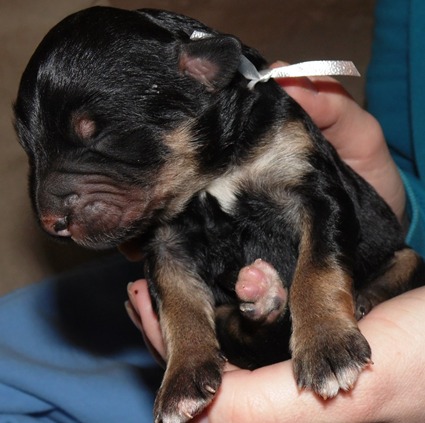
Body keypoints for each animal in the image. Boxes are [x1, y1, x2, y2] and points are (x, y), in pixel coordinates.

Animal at [13, 7, 424, 423]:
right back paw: (263, 296)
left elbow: (317, 268)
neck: (209, 174)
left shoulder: (314, 191)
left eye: (97, 136)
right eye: (29, 147)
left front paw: (327, 344)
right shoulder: (165, 243)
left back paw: (362, 297)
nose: (51, 224)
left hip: (399, 249)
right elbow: (178, 302)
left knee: (403, 262)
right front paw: (182, 378)